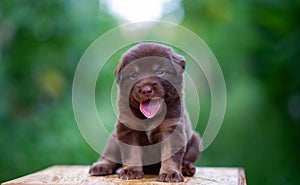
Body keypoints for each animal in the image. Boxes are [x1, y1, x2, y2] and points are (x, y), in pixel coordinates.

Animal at [89, 42, 202, 182]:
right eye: (133, 75)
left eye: (160, 72)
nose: (146, 90)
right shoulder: (128, 128)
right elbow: (132, 152)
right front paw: (131, 171)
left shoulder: (171, 128)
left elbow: (170, 153)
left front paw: (170, 173)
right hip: (114, 137)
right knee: (109, 154)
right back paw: (100, 166)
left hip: (195, 141)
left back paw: (187, 167)